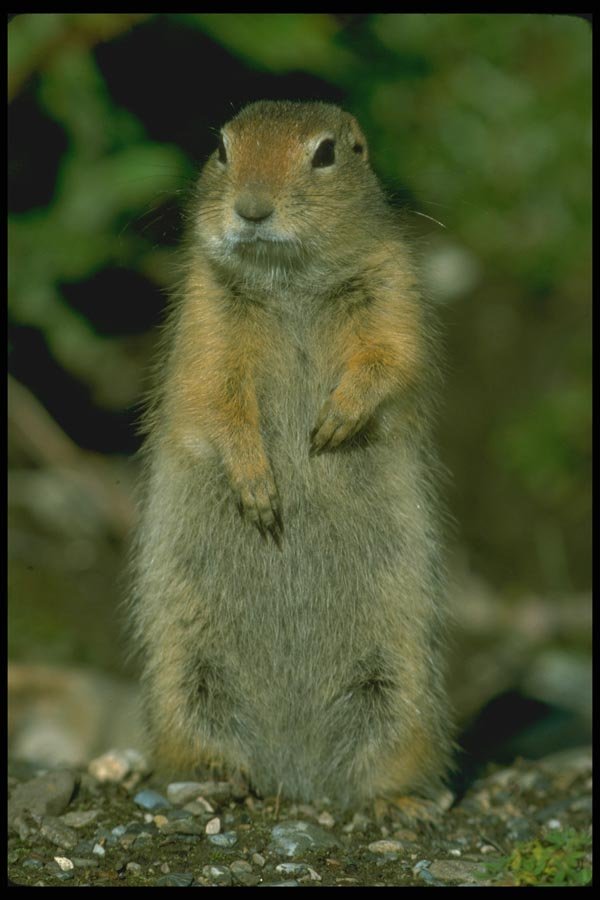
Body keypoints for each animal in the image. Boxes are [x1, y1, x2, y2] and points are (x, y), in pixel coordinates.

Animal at [129, 100, 453, 809]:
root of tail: (296, 777)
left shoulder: (392, 285)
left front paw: (334, 424)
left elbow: (391, 355)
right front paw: (259, 488)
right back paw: (216, 782)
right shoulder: (207, 319)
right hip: (187, 677)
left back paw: (395, 803)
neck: (289, 284)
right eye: (222, 148)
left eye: (326, 153)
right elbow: (215, 398)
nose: (251, 209)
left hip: (397, 687)